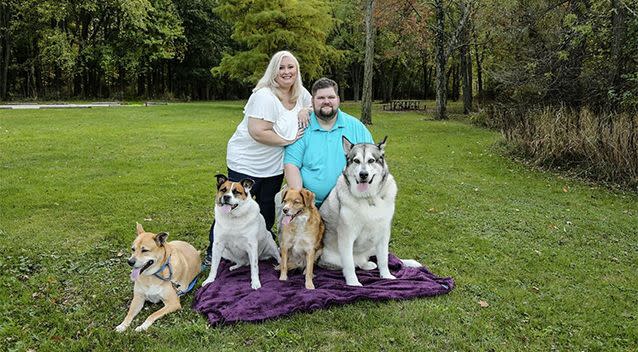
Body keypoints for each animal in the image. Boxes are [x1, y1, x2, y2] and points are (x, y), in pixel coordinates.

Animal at [318, 135, 420, 286]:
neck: (368, 198)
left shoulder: (384, 233)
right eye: (356, 160)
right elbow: (349, 264)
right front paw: (353, 283)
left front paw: (386, 276)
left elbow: (384, 259)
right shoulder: (346, 235)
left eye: (371, 160)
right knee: (353, 263)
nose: (363, 174)